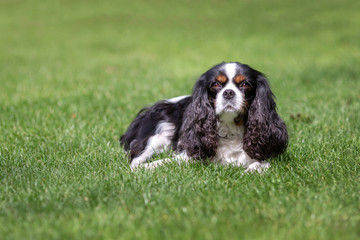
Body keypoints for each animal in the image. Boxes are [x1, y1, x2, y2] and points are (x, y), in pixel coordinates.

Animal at [119, 62, 288, 172]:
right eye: (215, 85)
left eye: (245, 84)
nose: (228, 92)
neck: (230, 129)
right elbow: (165, 162)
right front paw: (147, 168)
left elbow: (260, 164)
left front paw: (251, 170)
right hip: (159, 133)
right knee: (136, 156)